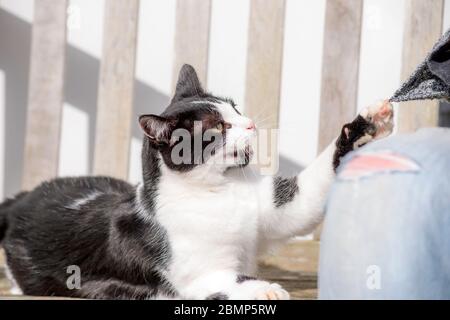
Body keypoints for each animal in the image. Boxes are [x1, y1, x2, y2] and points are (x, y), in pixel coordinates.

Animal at [0, 64, 392, 300]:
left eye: (234, 107)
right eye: (217, 127)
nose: (250, 123)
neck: (224, 190)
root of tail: (23, 198)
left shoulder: (278, 209)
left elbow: (308, 196)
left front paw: (368, 125)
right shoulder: (191, 276)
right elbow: (228, 279)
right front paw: (265, 289)